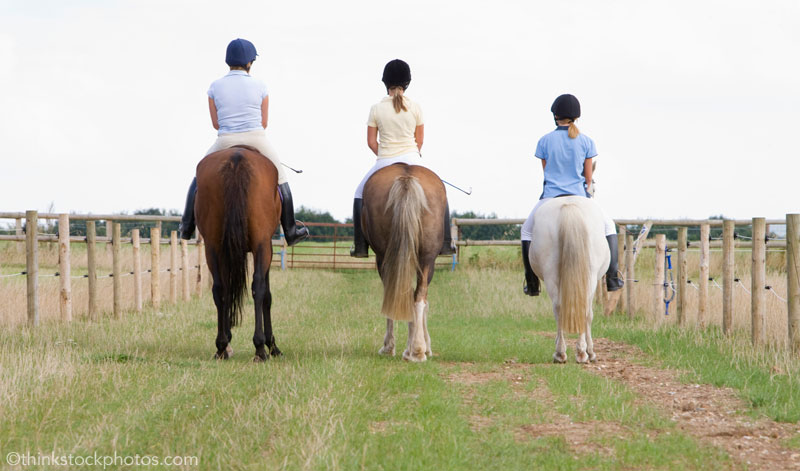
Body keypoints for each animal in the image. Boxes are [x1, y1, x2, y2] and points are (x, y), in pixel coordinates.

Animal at [194, 146, 282, 364]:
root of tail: (237, 157)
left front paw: (227, 340)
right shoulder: (266, 246)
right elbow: (267, 295)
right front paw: (272, 346)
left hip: (213, 247)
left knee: (219, 289)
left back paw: (221, 347)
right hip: (261, 245)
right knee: (258, 288)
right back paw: (260, 348)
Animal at [362, 164, 450, 364]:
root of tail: (407, 177)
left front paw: (389, 347)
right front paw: (423, 346)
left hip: (387, 258)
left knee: (403, 295)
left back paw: (411, 349)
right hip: (426, 258)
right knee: (418, 296)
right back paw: (417, 350)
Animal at [532, 195, 612, 366]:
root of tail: (569, 204)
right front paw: (591, 352)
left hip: (552, 274)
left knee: (559, 308)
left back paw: (563, 353)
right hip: (589, 276)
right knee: (582, 310)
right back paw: (578, 353)